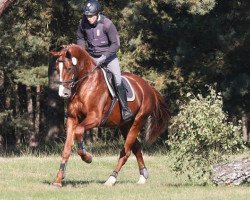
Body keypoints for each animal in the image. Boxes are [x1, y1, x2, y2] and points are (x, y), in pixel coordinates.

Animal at [50, 44, 170, 188]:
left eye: (69, 68)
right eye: (57, 69)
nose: (64, 93)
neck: (84, 85)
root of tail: (148, 87)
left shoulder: (94, 118)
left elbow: (79, 131)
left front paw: (87, 157)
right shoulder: (72, 119)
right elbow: (66, 149)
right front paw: (58, 180)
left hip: (138, 121)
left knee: (126, 152)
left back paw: (111, 179)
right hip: (125, 125)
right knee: (136, 147)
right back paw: (143, 176)